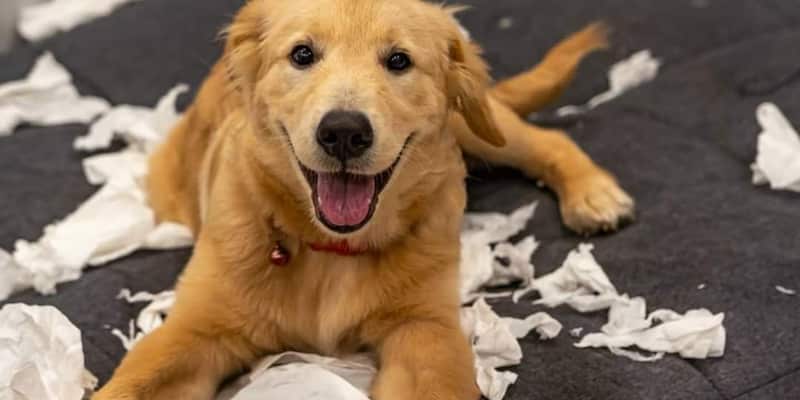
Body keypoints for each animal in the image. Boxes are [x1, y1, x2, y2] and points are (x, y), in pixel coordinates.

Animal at [94, 0, 633, 399]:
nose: (343, 133)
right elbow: (132, 384)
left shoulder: (424, 330)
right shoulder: (194, 330)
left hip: (478, 123)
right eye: (302, 54)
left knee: (544, 140)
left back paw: (593, 194)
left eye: (398, 60)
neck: (331, 251)